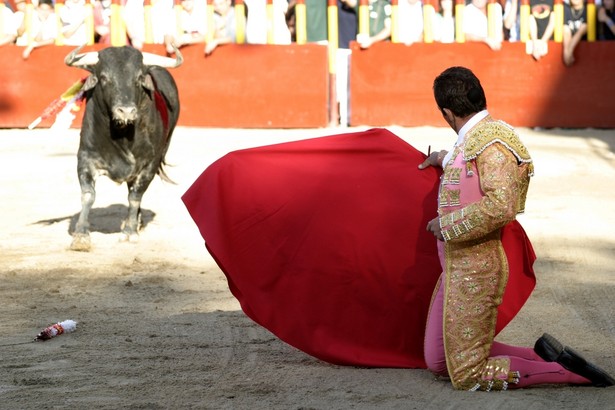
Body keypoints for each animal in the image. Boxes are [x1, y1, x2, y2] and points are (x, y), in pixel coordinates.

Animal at [67, 44, 184, 250]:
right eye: (104, 77)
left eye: (138, 78)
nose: (126, 111)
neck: (121, 135)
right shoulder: (86, 158)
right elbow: (88, 195)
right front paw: (81, 236)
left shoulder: (149, 165)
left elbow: (135, 196)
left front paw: (129, 232)